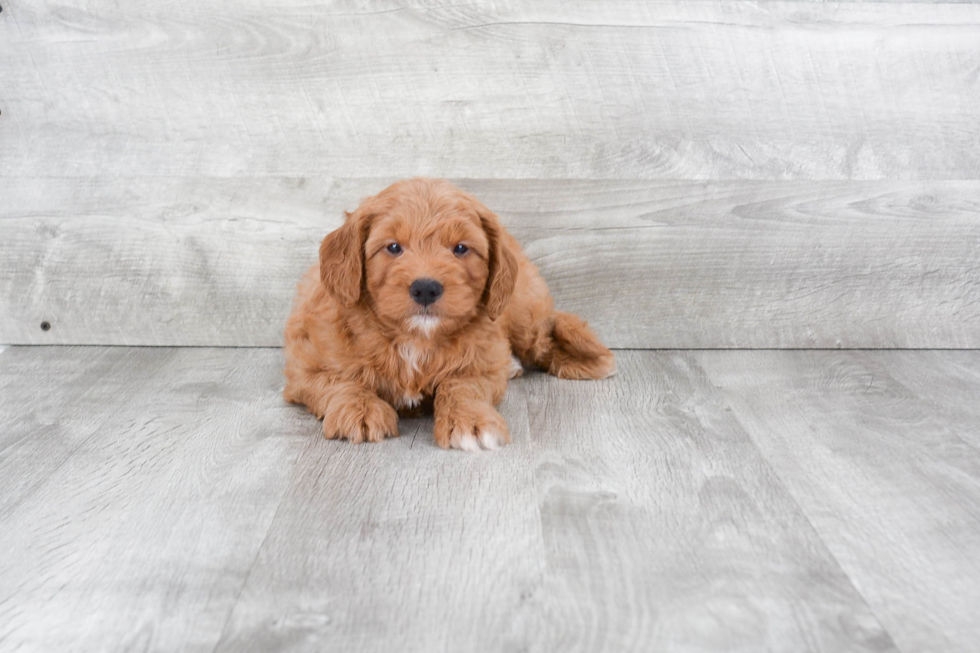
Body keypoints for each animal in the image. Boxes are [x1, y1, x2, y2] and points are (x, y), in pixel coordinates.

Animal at [280, 176, 612, 450]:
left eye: (461, 248)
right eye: (393, 247)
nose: (426, 288)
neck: (414, 338)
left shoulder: (482, 362)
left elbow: (462, 384)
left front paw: (470, 421)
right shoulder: (304, 367)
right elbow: (340, 381)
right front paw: (358, 410)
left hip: (522, 313)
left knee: (545, 332)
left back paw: (586, 357)